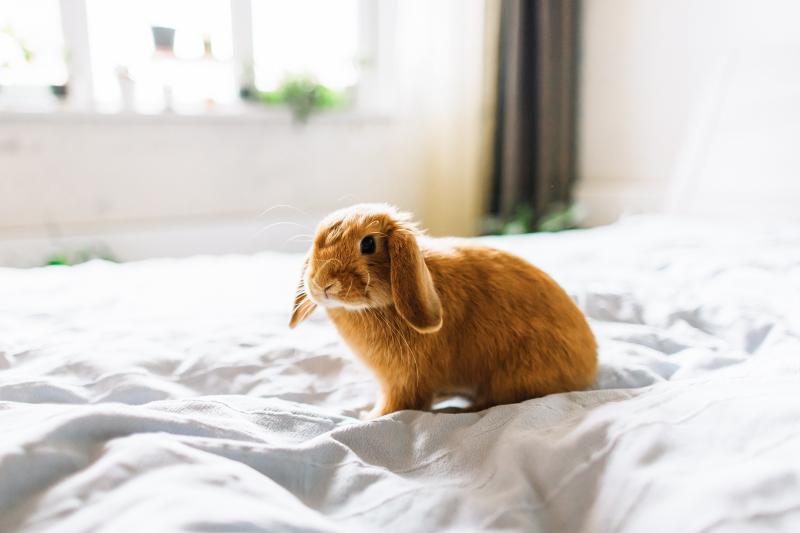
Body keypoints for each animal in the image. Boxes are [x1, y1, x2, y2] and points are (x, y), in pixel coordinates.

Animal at [289, 204, 597, 418]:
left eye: (368, 243)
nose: (323, 284)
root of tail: (588, 367)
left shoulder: (403, 382)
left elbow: (397, 406)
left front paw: (368, 417)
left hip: (513, 374)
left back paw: (453, 410)